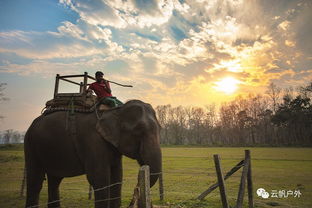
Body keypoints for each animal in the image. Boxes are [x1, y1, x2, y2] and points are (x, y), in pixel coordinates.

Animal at [24, 100, 162, 207]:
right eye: (138, 131)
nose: (134, 198)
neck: (114, 110)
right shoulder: (92, 141)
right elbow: (100, 178)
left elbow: (117, 177)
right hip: (30, 144)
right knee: (35, 182)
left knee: (54, 181)